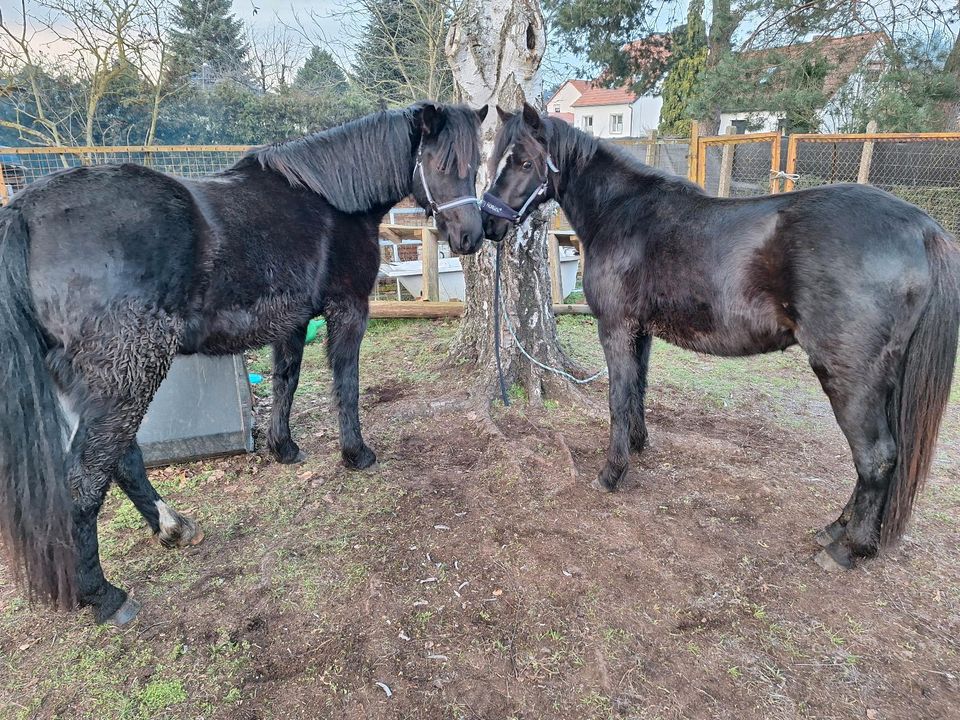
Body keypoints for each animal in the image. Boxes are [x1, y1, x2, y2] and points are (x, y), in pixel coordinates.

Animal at [0, 101, 488, 624]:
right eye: (441, 163)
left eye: (476, 164)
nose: (470, 237)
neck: (331, 199)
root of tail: (23, 212)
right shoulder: (349, 310)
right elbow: (346, 385)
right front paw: (356, 453)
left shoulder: (292, 321)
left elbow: (285, 381)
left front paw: (284, 447)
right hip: (127, 373)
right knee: (84, 478)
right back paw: (105, 595)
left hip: (95, 380)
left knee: (122, 459)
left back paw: (173, 527)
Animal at [488, 102, 960, 572]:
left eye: (525, 162)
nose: (489, 224)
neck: (622, 212)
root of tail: (923, 229)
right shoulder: (641, 332)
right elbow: (638, 389)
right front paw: (638, 447)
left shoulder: (616, 327)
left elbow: (618, 398)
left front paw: (611, 473)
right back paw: (836, 529)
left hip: (849, 378)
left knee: (876, 457)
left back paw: (849, 548)